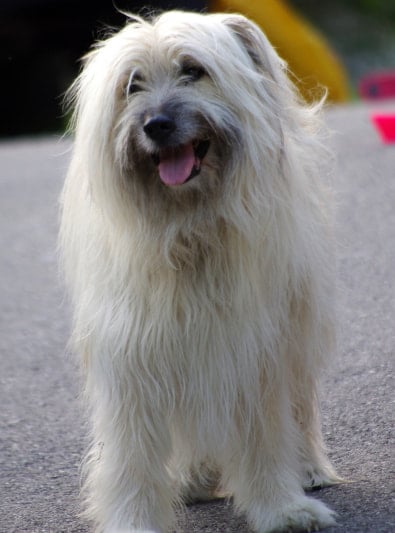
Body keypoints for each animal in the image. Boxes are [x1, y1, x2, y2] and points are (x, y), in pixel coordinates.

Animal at [61, 9, 340, 532]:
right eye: (132, 85)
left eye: (193, 70)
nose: (156, 125)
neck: (189, 231)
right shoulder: (136, 352)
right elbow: (132, 452)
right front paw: (134, 519)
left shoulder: (251, 347)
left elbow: (265, 430)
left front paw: (282, 506)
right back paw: (194, 477)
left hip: (296, 321)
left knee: (299, 402)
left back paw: (308, 467)